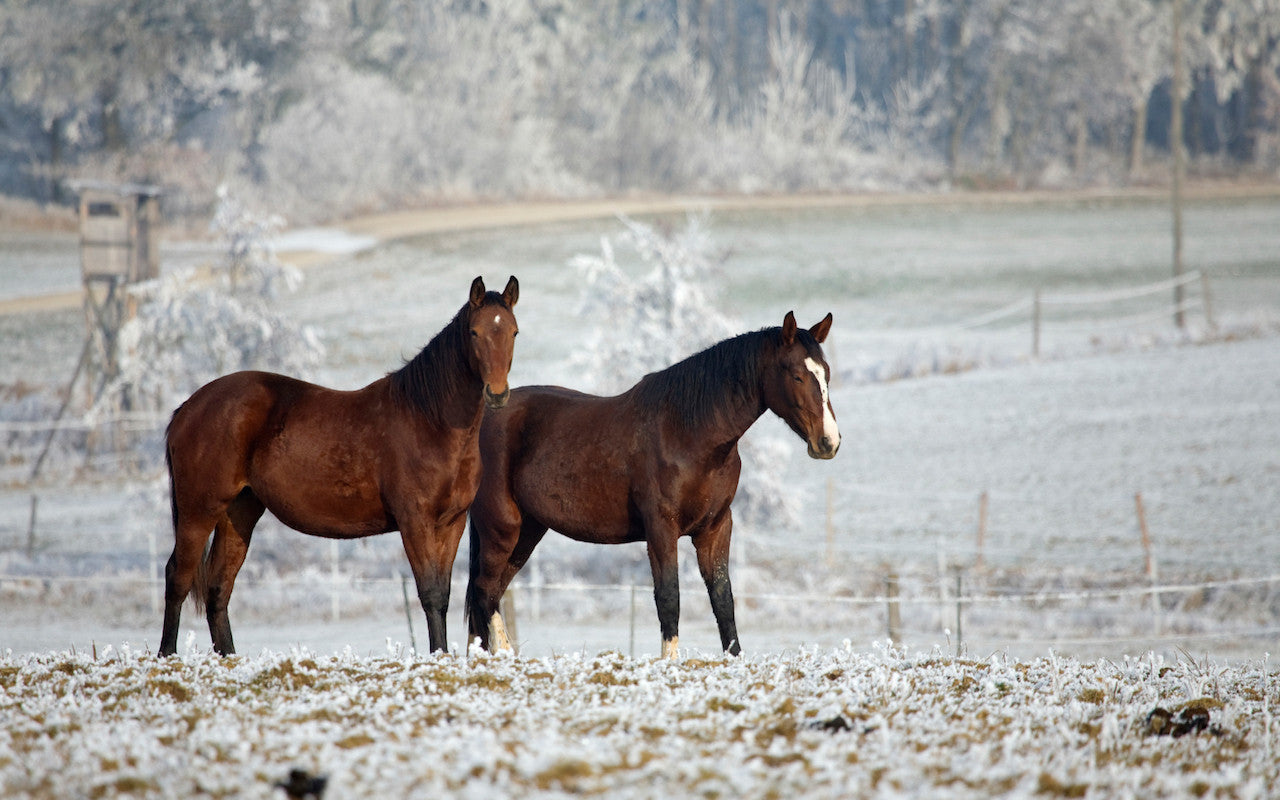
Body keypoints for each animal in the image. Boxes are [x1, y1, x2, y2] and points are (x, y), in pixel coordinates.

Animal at [158, 275, 519, 657]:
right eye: (475, 332)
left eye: (513, 332)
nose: (497, 393)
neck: (429, 420)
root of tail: (187, 408)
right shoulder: (415, 522)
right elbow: (431, 593)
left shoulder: (452, 523)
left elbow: (444, 594)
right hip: (199, 510)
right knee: (178, 576)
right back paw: (167, 655)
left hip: (238, 511)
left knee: (218, 588)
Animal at [465, 310, 838, 659]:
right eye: (796, 375)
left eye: (826, 373)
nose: (829, 442)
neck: (687, 432)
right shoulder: (661, 527)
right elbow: (669, 596)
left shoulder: (715, 528)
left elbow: (723, 598)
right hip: (501, 526)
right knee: (485, 592)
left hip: (527, 530)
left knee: (491, 593)